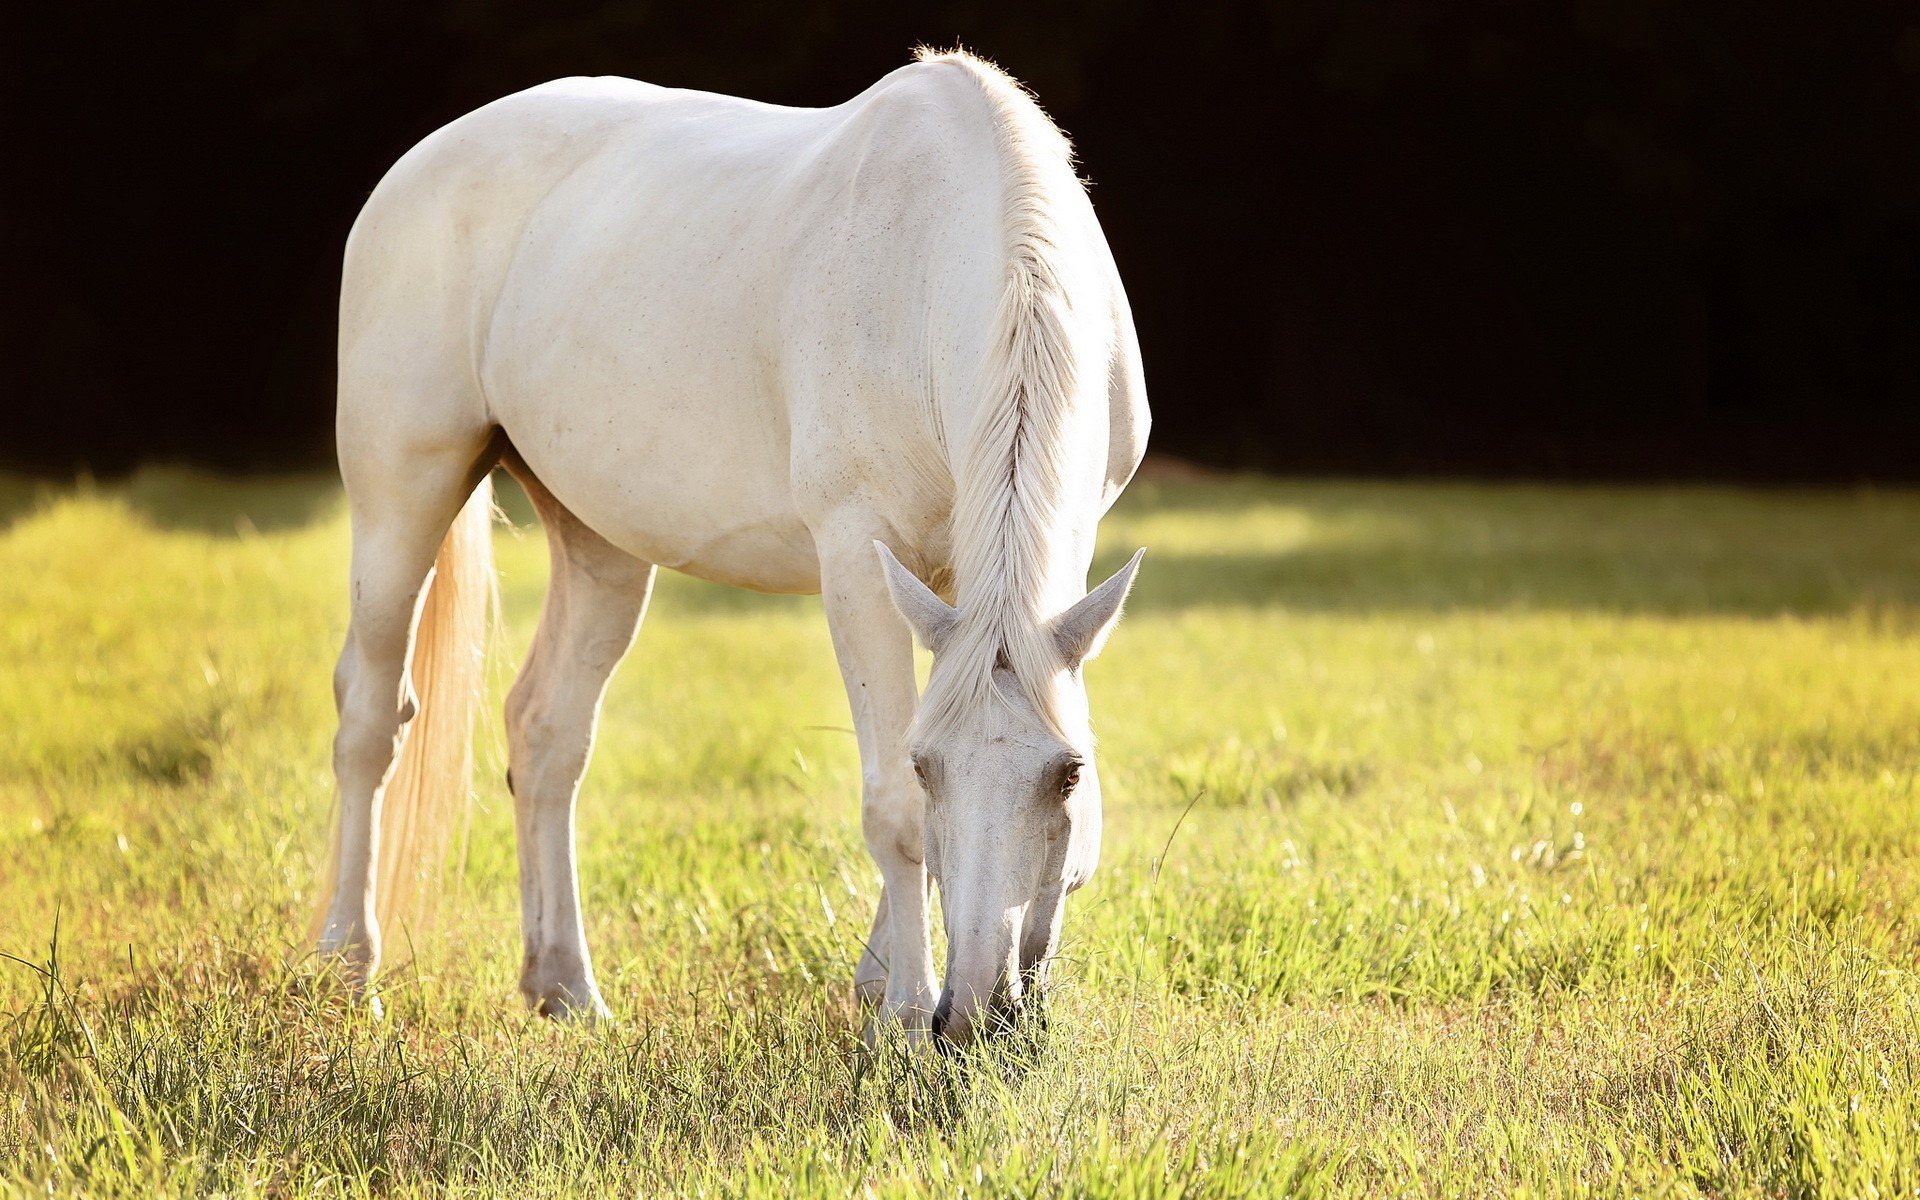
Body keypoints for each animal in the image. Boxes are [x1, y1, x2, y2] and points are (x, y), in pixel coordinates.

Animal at [312, 48, 1149, 1045]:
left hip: (599, 539)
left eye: (1069, 774)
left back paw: (566, 989)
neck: (933, 266)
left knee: (547, 733)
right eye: (931, 767)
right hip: (403, 490)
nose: (979, 1015)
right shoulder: (856, 554)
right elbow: (893, 808)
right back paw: (346, 973)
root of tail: (416, 167)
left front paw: (879, 984)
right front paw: (903, 1017)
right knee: (371, 718)